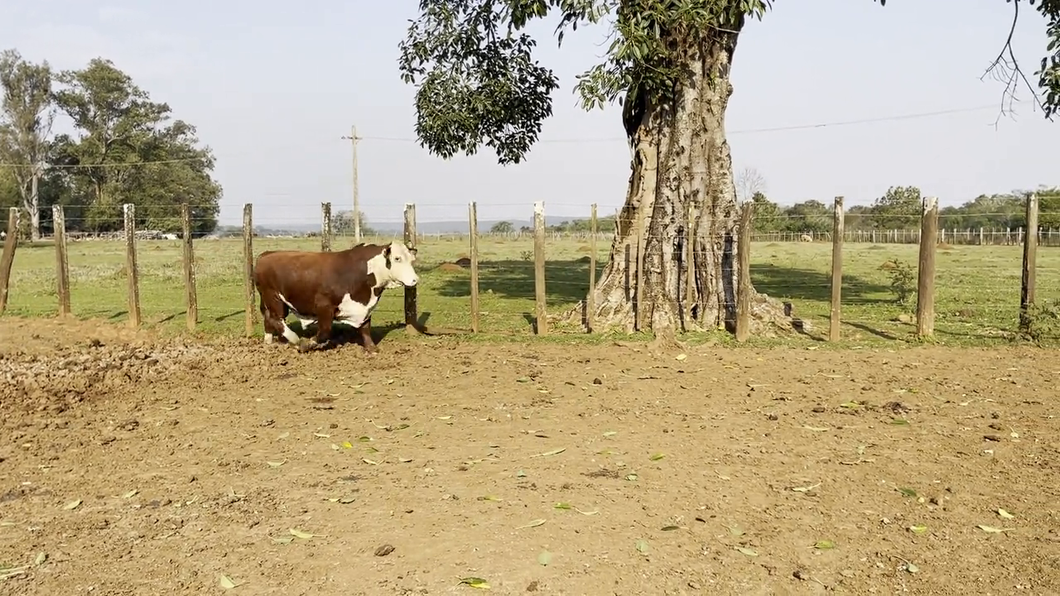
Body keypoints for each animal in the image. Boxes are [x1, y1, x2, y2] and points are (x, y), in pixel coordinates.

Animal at [252, 241, 417, 349]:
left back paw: (269, 342)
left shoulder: (365, 307)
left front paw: (371, 348)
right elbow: (325, 331)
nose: (415, 279)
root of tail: (265, 255)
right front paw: (308, 344)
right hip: (274, 298)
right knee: (275, 318)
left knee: (269, 318)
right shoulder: (324, 306)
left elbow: (365, 328)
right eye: (397, 258)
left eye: (412, 260)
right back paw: (294, 339)